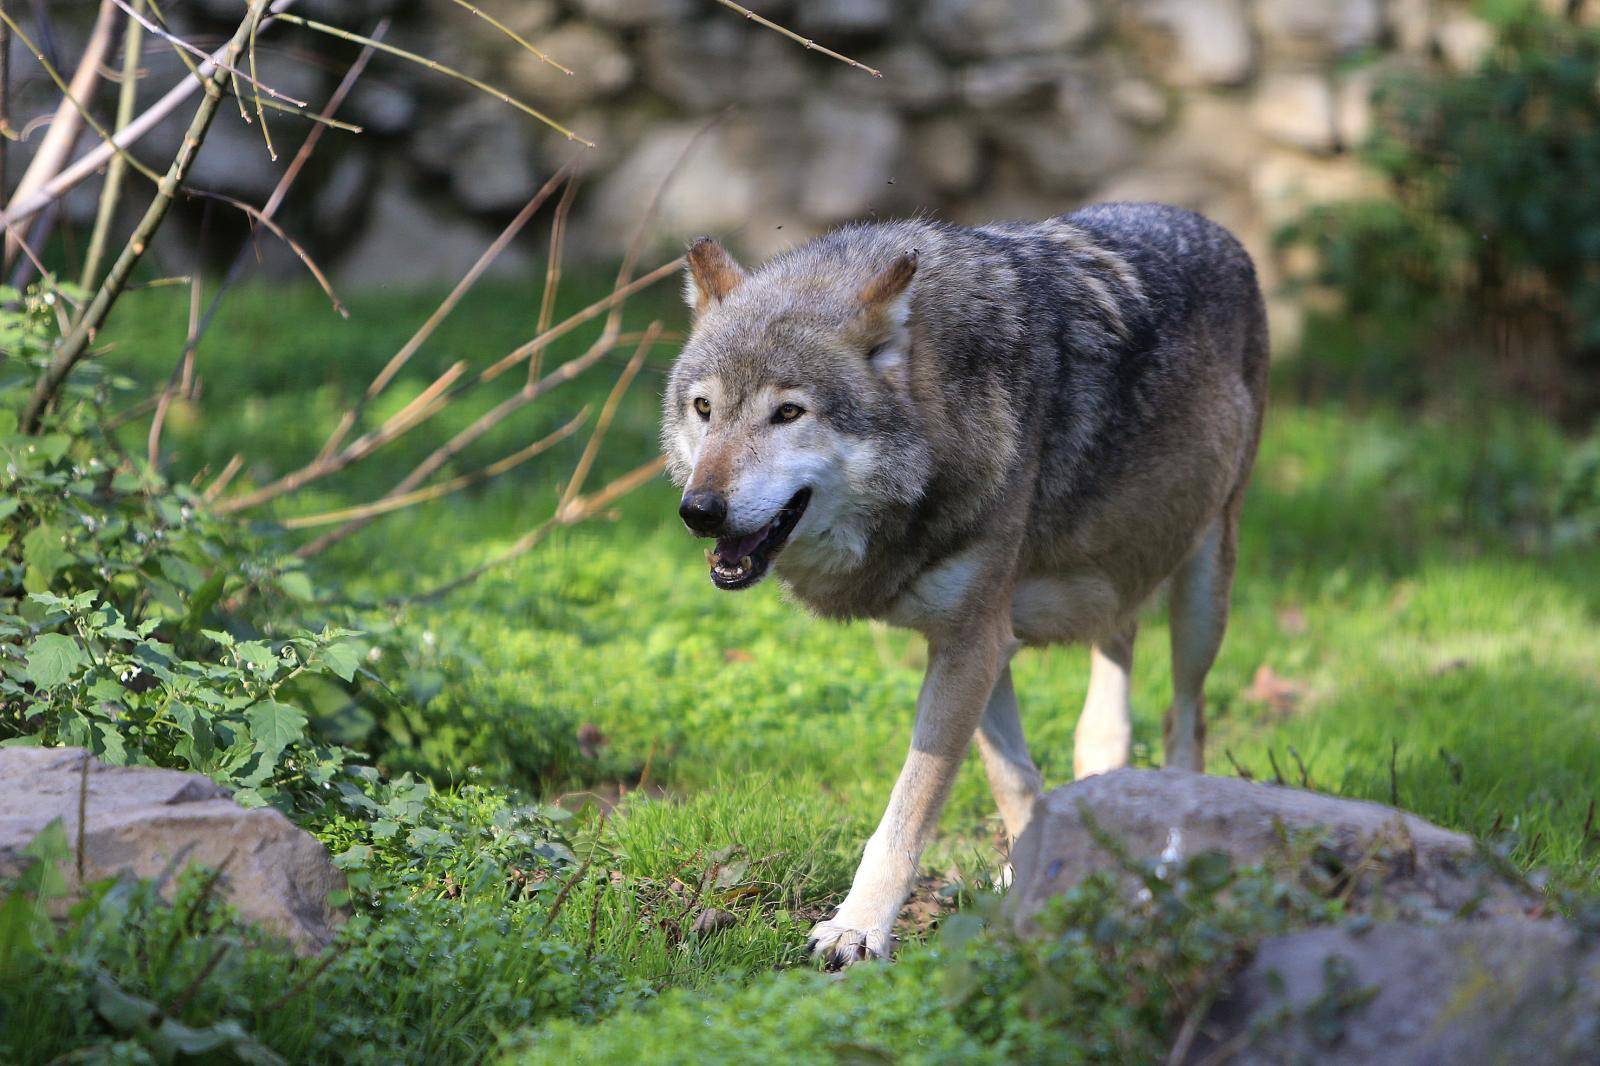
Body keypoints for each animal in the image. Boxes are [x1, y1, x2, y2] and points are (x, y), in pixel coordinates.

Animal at [659, 201, 1260, 960]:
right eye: (705, 409)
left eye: (788, 413)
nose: (699, 511)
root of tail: (1206, 222)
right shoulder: (978, 641)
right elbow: (1013, 778)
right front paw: (1041, 879)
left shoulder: (974, 641)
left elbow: (909, 808)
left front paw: (858, 928)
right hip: (1116, 585)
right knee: (1107, 711)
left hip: (1204, 598)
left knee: (1187, 718)